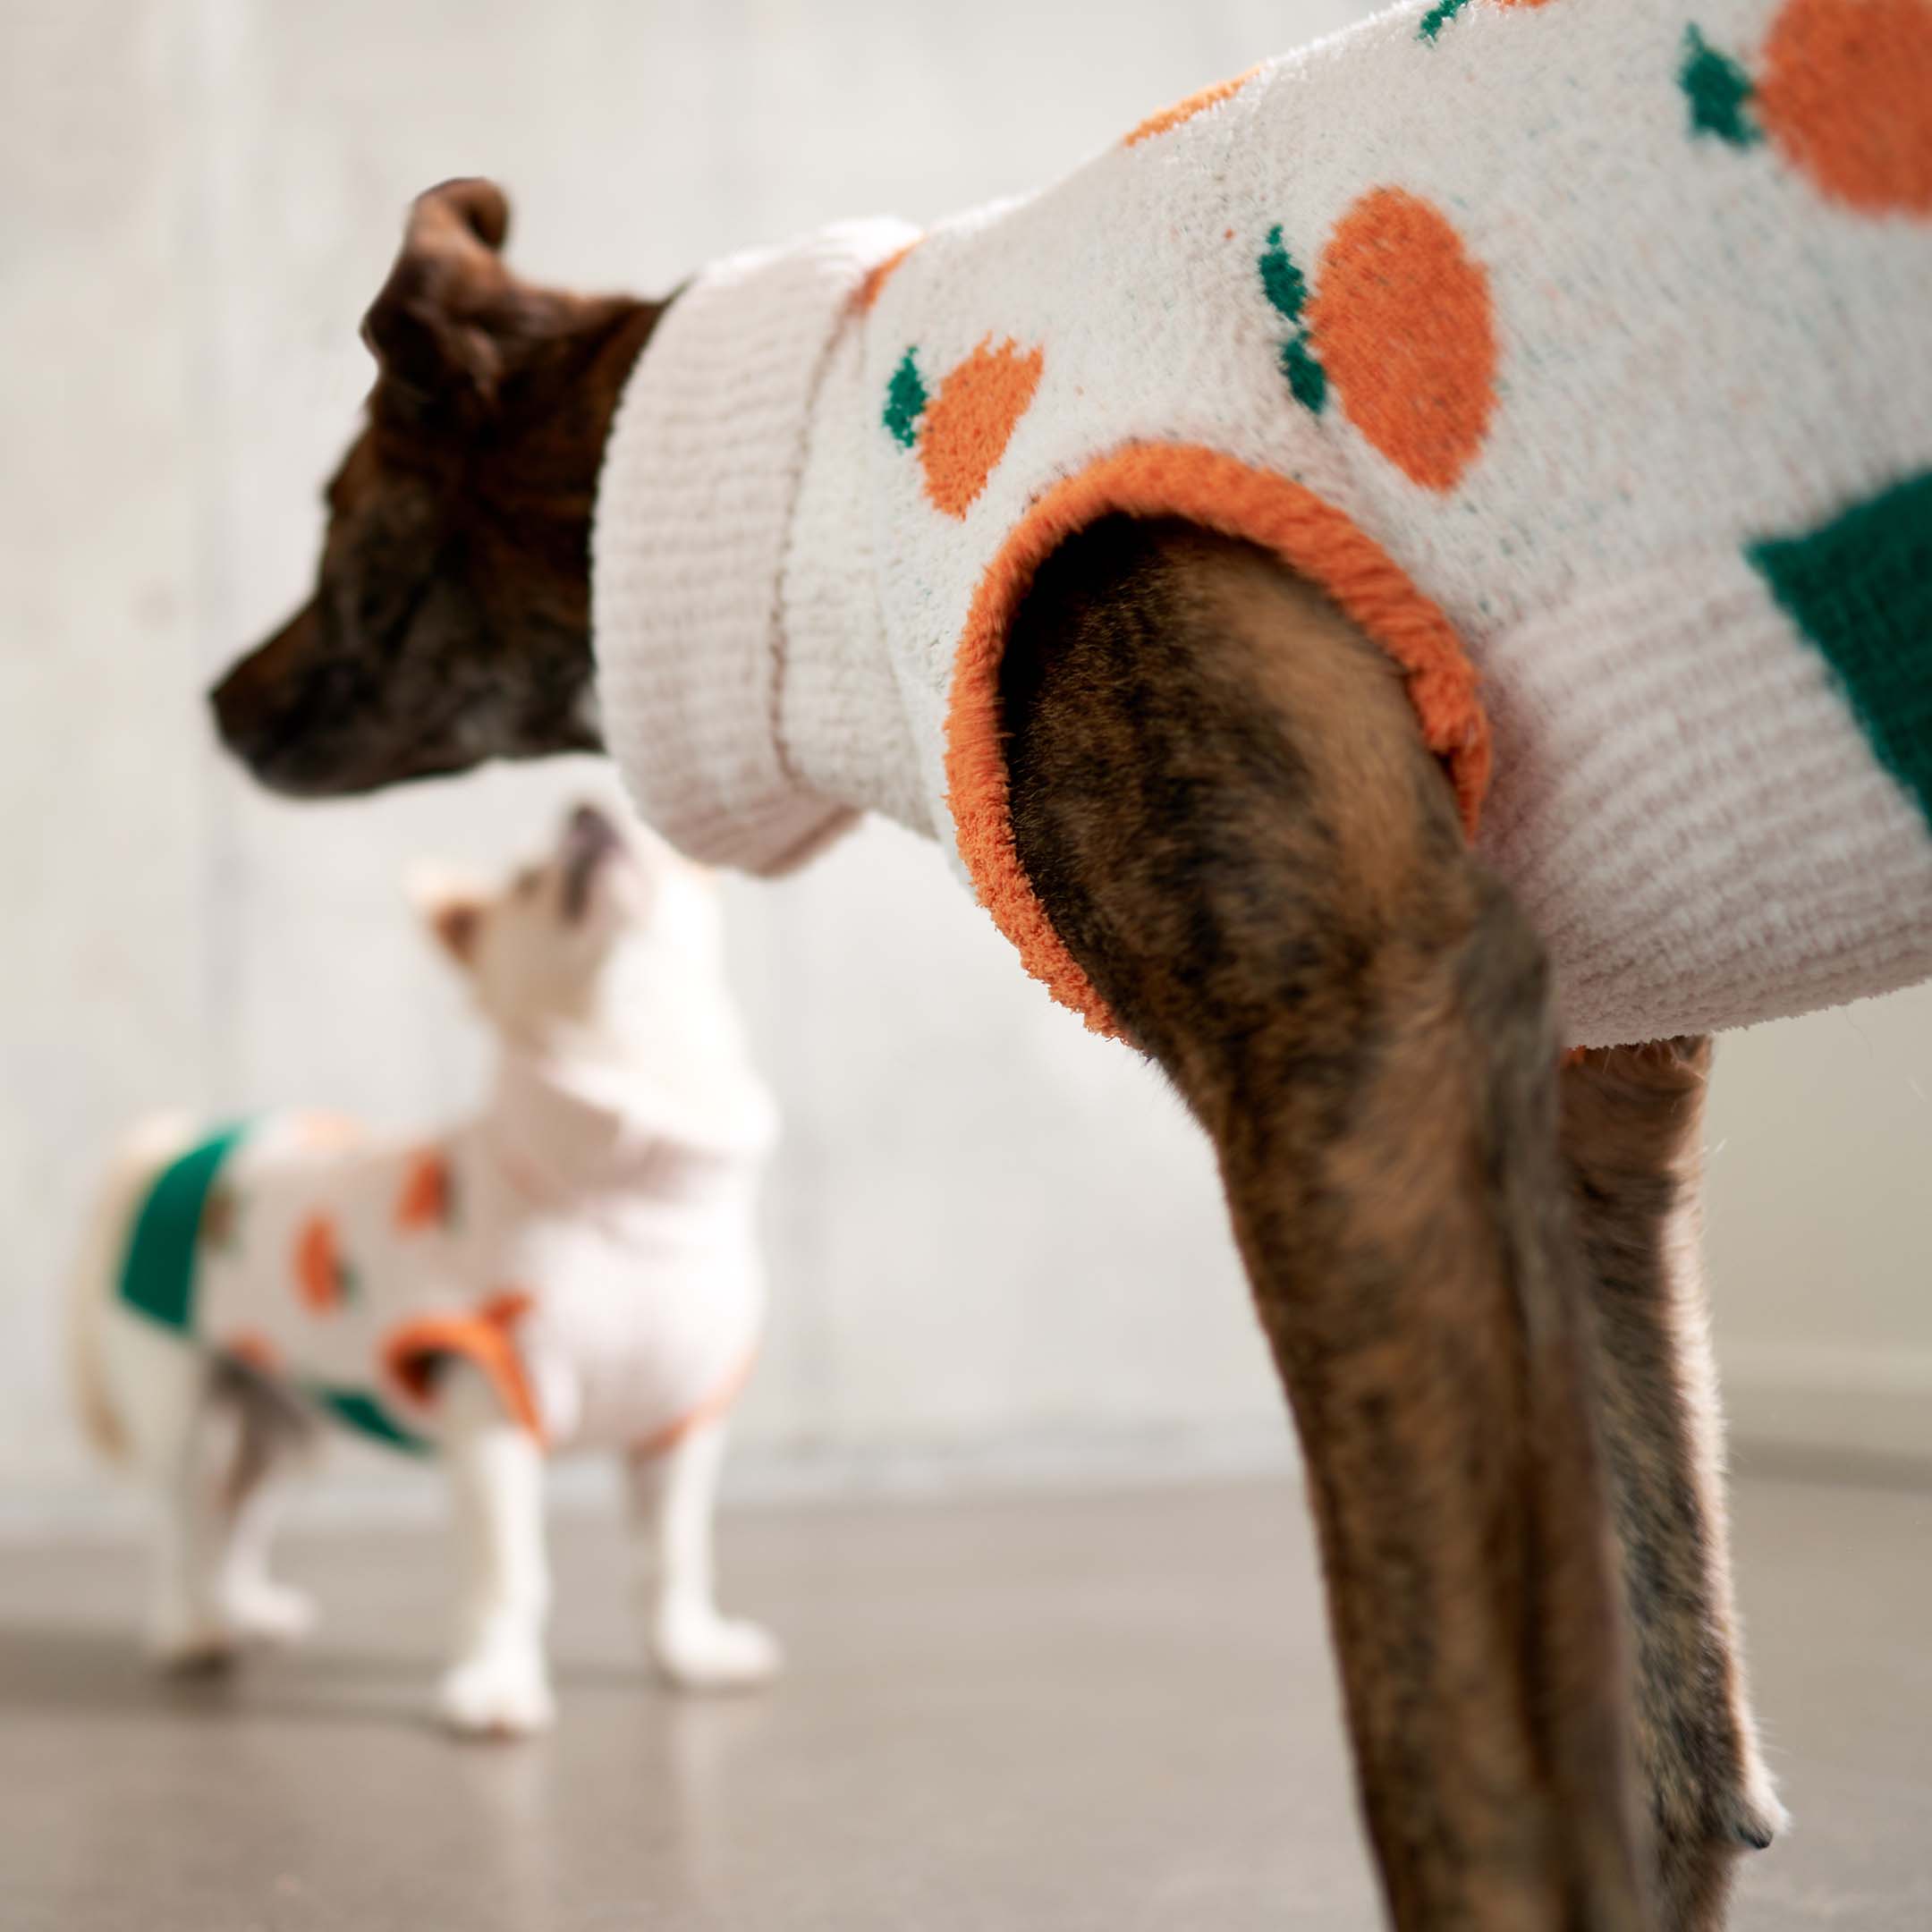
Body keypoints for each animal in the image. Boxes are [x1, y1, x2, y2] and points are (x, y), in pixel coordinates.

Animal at [70, 800, 776, 1739]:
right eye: (525, 879)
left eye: (644, 830)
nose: (584, 810)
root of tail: (174, 1145)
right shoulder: (491, 1411)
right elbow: (507, 1573)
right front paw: (496, 1687)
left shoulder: (677, 1428)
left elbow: (671, 1558)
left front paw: (689, 1654)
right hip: (178, 1398)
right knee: (182, 1513)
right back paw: (188, 1626)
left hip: (284, 1416)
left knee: (241, 1508)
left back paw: (245, 1607)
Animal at [211, 182, 1777, 1932]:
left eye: (331, 513)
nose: (215, 702)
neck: (834, 470)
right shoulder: (1572, 1117)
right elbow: (1665, 1736)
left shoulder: (1371, 1023)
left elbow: (1468, 1754)